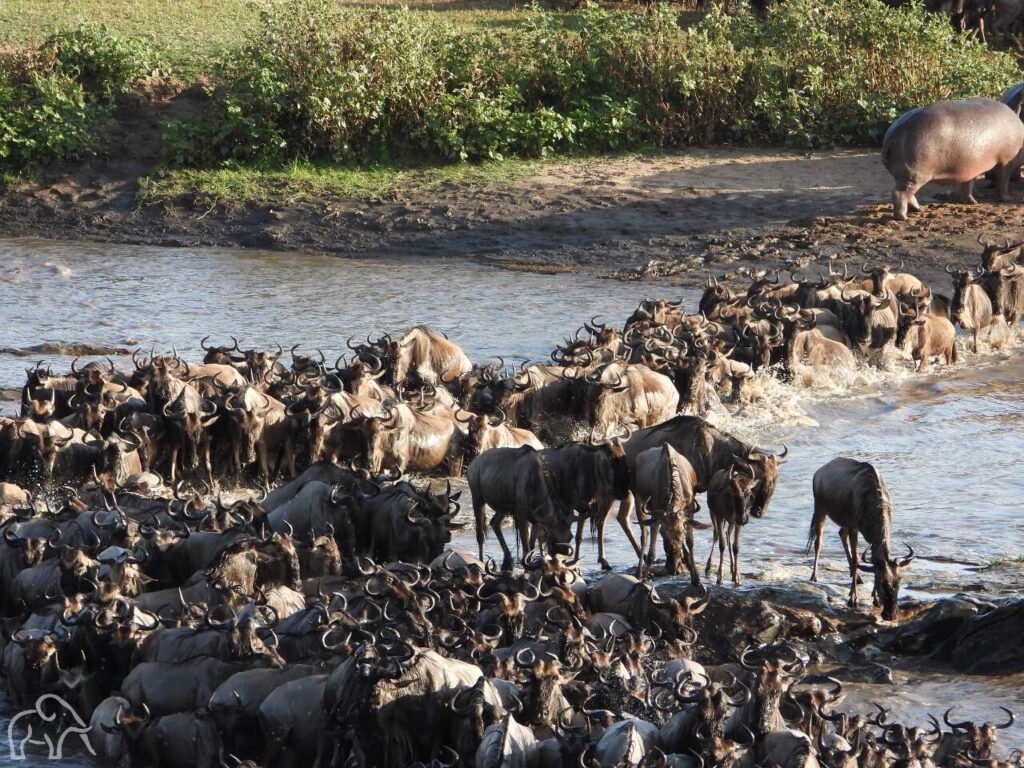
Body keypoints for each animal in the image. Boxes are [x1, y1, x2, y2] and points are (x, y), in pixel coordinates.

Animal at [880, 97, 1024, 219]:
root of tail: (892, 134)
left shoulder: (971, 167)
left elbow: (968, 185)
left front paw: (972, 202)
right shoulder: (1006, 161)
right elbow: (1003, 182)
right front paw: (1007, 199)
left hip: (907, 175)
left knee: (908, 193)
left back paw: (918, 209)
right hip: (914, 173)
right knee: (900, 193)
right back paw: (903, 217)